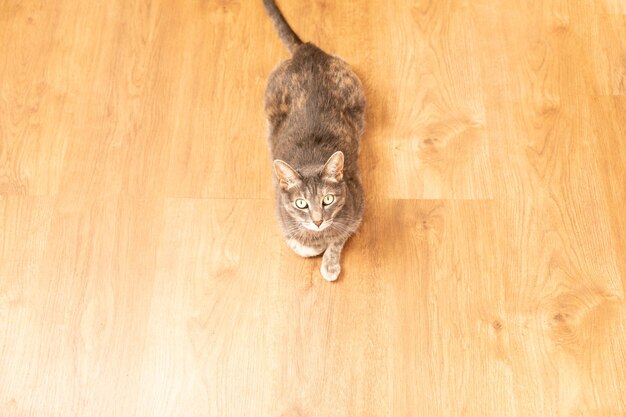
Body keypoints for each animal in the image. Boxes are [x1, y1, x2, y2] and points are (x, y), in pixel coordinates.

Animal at [260, 0, 366, 282]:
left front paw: (329, 262)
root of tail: (306, 51)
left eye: (327, 200)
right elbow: (301, 245)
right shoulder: (281, 217)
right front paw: (315, 244)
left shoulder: (357, 209)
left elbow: (338, 238)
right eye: (301, 203)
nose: (318, 221)